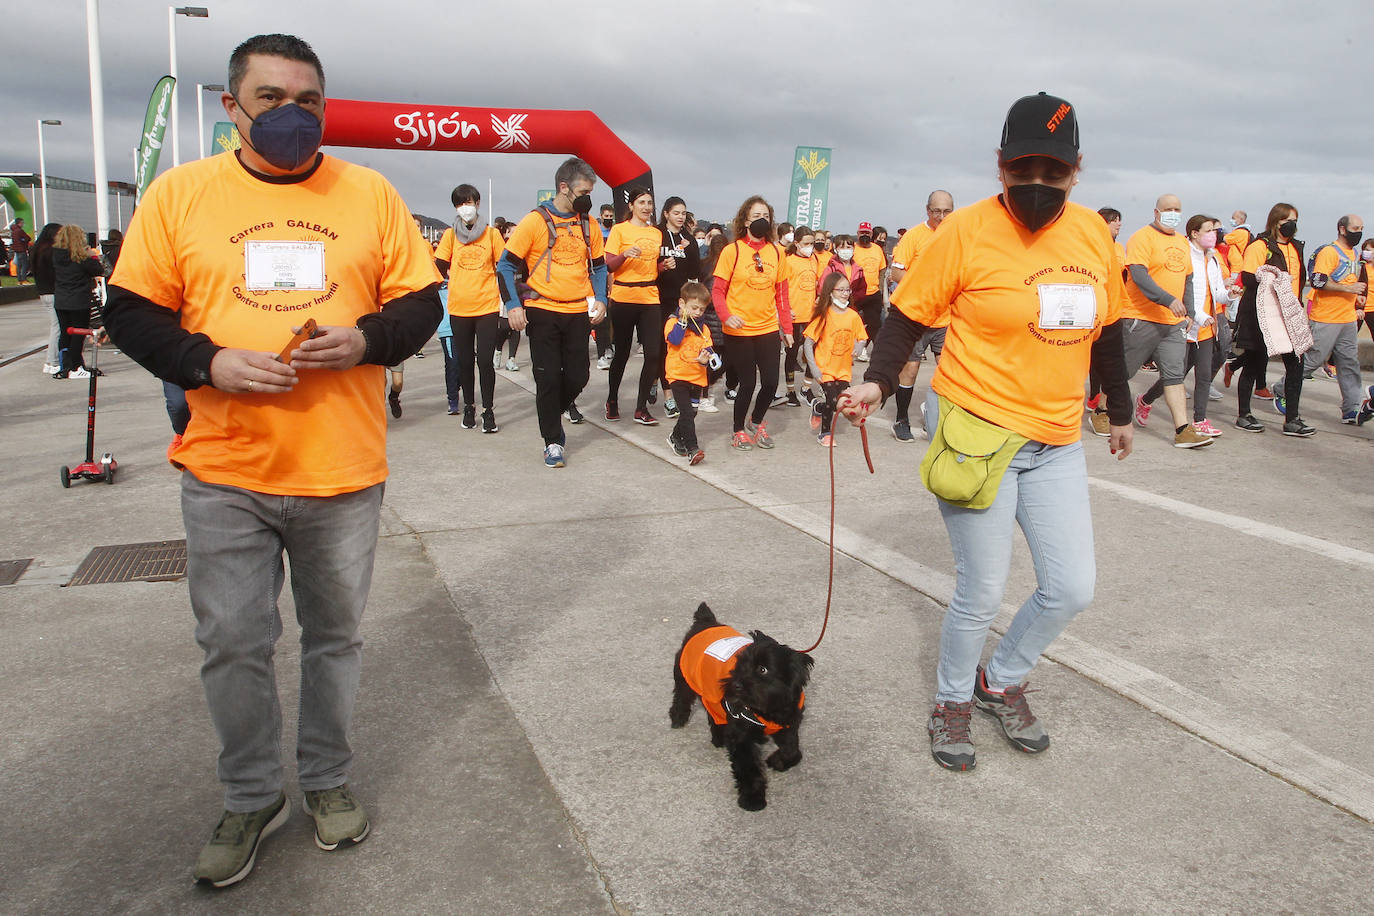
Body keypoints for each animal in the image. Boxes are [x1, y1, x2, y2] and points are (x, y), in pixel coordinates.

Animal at [667, 604, 807, 813]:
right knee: (681, 698)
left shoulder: (788, 724)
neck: (767, 709)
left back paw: (718, 738)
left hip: (711, 695)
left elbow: (792, 750)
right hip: (685, 678)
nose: (736, 684)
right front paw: (752, 799)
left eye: (762, 669)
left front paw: (778, 761)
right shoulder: (741, 737)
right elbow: (748, 769)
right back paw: (678, 719)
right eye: (739, 665)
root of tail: (706, 621)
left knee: (712, 714)